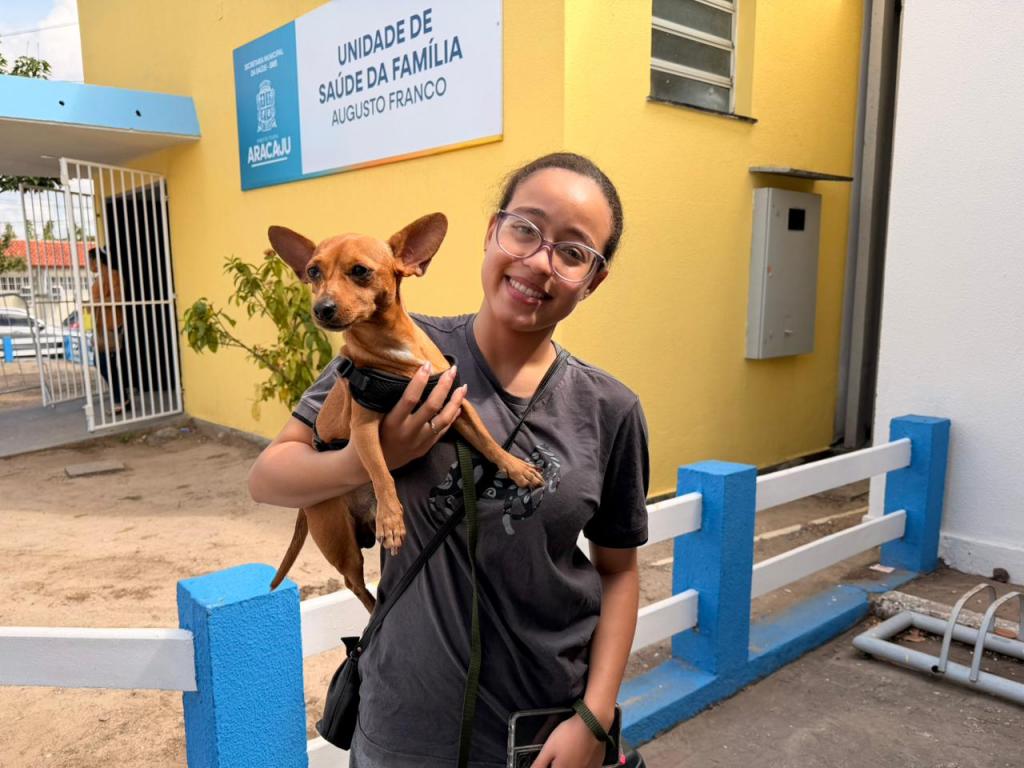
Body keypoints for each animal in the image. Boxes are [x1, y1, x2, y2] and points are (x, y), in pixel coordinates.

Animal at [267, 213, 544, 612]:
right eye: (313, 272)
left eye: (360, 271)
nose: (322, 308)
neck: (393, 348)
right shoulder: (365, 429)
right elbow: (382, 473)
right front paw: (392, 518)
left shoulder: (457, 407)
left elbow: (489, 441)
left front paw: (517, 467)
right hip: (340, 542)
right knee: (353, 581)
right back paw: (372, 607)